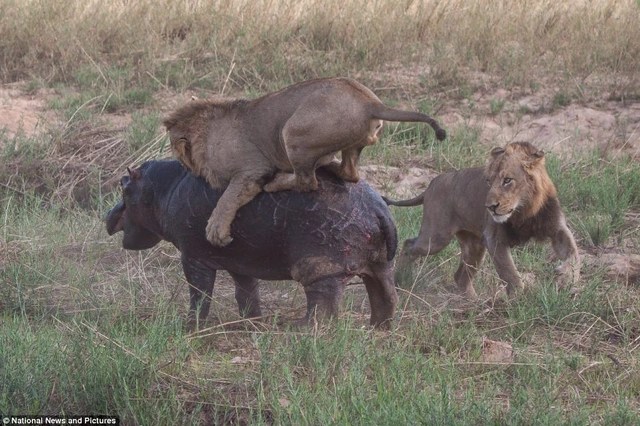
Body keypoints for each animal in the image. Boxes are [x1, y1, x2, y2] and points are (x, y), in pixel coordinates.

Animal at [105, 161, 398, 328]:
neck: (164, 187)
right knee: (385, 295)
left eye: (123, 186)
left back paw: (300, 328)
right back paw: (378, 328)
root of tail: (377, 207)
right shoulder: (241, 262)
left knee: (323, 305)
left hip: (319, 266)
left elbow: (199, 293)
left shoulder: (193, 257)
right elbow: (246, 293)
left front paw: (189, 327)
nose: (109, 214)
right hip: (380, 263)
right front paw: (252, 322)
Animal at [164, 76, 444, 246]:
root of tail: (371, 103)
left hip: (293, 132)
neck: (207, 132)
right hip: (349, 145)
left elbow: (228, 197)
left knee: (307, 181)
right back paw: (328, 164)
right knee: (349, 173)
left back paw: (278, 181)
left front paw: (216, 231)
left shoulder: (252, 170)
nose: (182, 167)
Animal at [384, 141, 580, 298]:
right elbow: (509, 273)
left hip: (474, 245)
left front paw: (566, 278)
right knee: (409, 245)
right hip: (437, 237)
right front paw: (517, 299)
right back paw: (399, 281)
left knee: (461, 277)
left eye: (507, 180)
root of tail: (432, 182)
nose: (490, 207)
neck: (524, 210)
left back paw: (474, 303)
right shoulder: (494, 239)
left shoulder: (557, 228)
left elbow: (574, 253)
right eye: (488, 181)